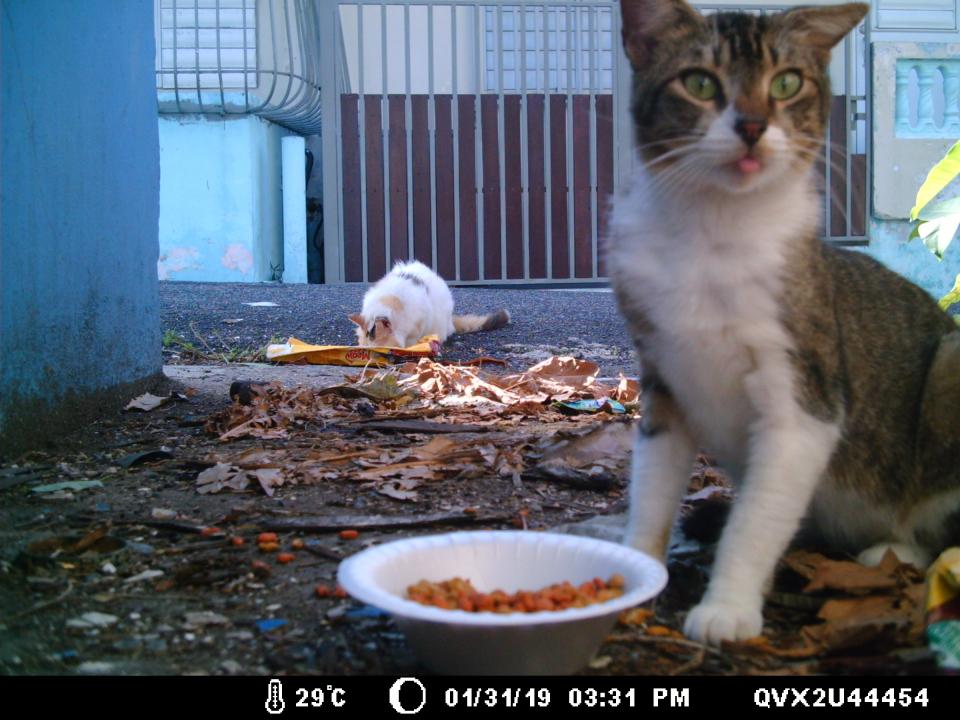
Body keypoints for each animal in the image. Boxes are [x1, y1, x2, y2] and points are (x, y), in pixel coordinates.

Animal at [608, 0, 960, 644]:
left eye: (786, 83)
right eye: (700, 83)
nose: (751, 125)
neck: (712, 231)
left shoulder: (804, 394)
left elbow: (760, 514)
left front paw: (727, 607)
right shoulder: (663, 375)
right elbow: (653, 482)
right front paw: (637, 570)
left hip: (950, 364)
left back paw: (891, 551)